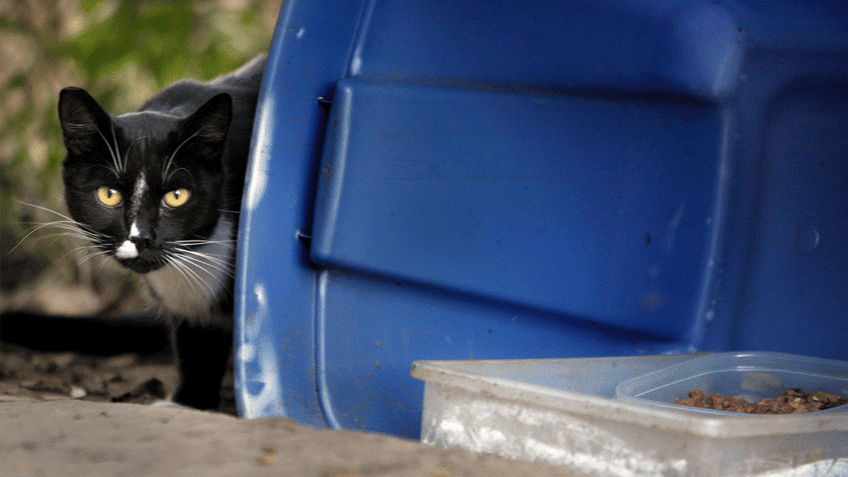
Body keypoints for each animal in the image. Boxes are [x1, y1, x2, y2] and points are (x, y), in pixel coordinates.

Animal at [57, 54, 264, 408]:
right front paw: (190, 400)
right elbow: (198, 346)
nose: (140, 237)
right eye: (109, 194)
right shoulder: (194, 314)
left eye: (177, 196)